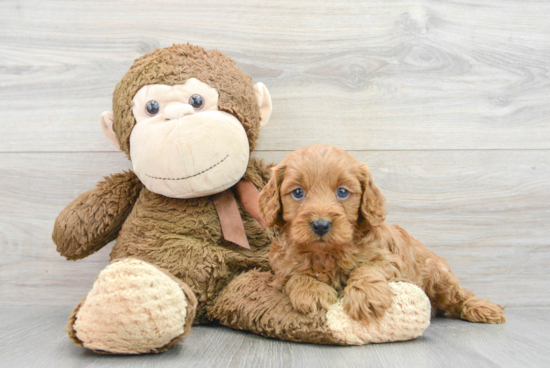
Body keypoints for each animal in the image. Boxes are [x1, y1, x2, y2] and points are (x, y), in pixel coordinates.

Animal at [260, 145, 506, 324]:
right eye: (298, 193)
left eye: (342, 192)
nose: (321, 225)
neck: (327, 253)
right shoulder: (280, 271)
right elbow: (296, 275)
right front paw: (312, 292)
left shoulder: (388, 259)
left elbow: (366, 268)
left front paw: (366, 297)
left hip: (438, 276)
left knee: (459, 295)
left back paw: (483, 308)